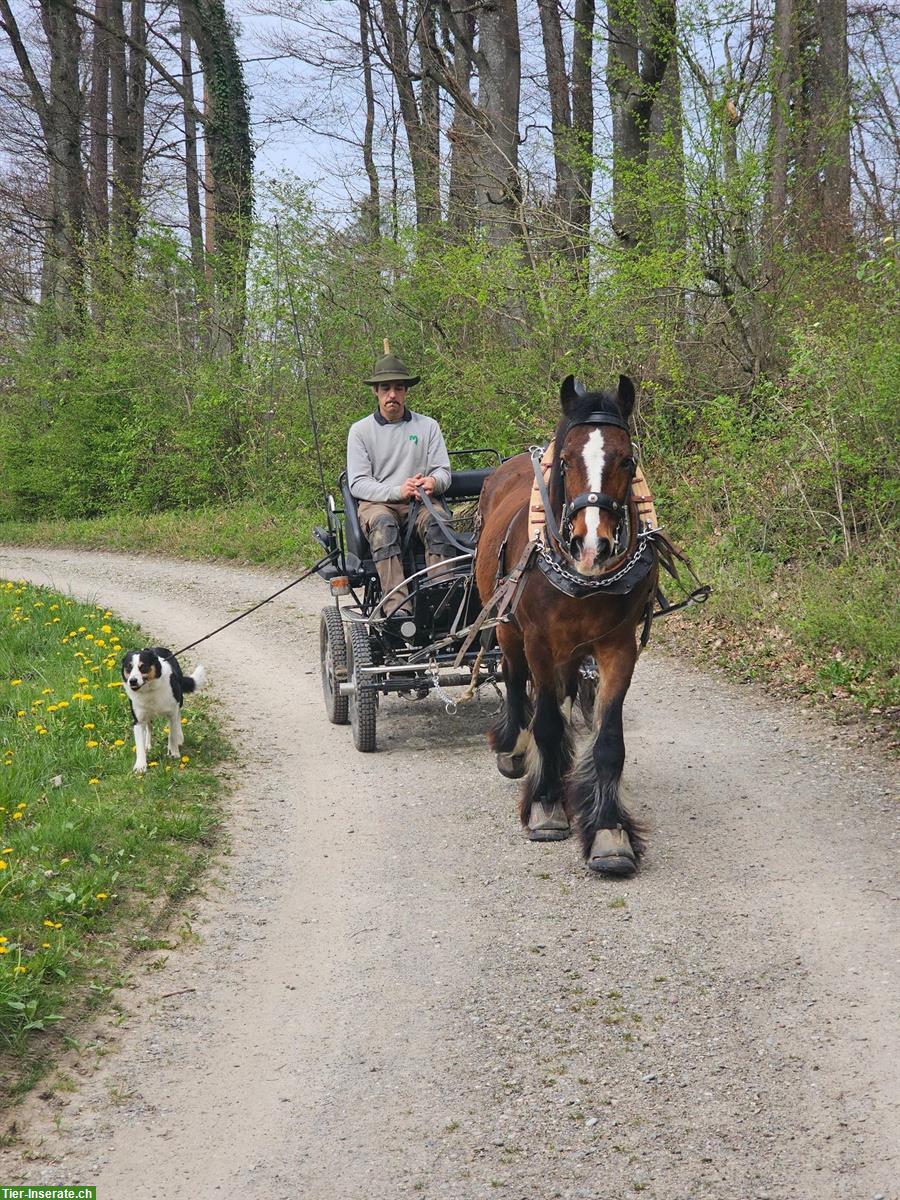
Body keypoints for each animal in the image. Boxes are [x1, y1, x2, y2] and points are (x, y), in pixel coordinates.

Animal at [480, 369, 657, 878]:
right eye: (565, 461)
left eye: (627, 459)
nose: (591, 545)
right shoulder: (539, 641)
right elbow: (545, 723)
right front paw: (546, 805)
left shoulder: (618, 647)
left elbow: (610, 741)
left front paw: (609, 832)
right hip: (507, 628)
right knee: (516, 682)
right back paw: (516, 750)